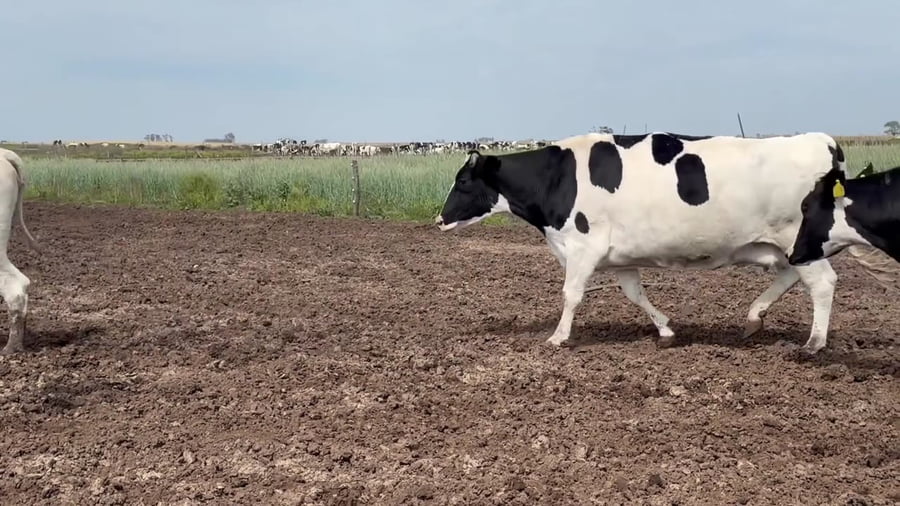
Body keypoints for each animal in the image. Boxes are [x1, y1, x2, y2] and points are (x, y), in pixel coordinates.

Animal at [435, 131, 856, 354]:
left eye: (463, 181)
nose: (438, 219)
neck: (557, 177)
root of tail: (820, 139)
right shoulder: (619, 257)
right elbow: (635, 295)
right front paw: (666, 329)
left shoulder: (583, 246)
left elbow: (571, 294)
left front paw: (558, 336)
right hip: (785, 245)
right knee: (791, 276)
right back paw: (754, 318)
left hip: (796, 236)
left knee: (822, 283)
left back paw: (814, 342)